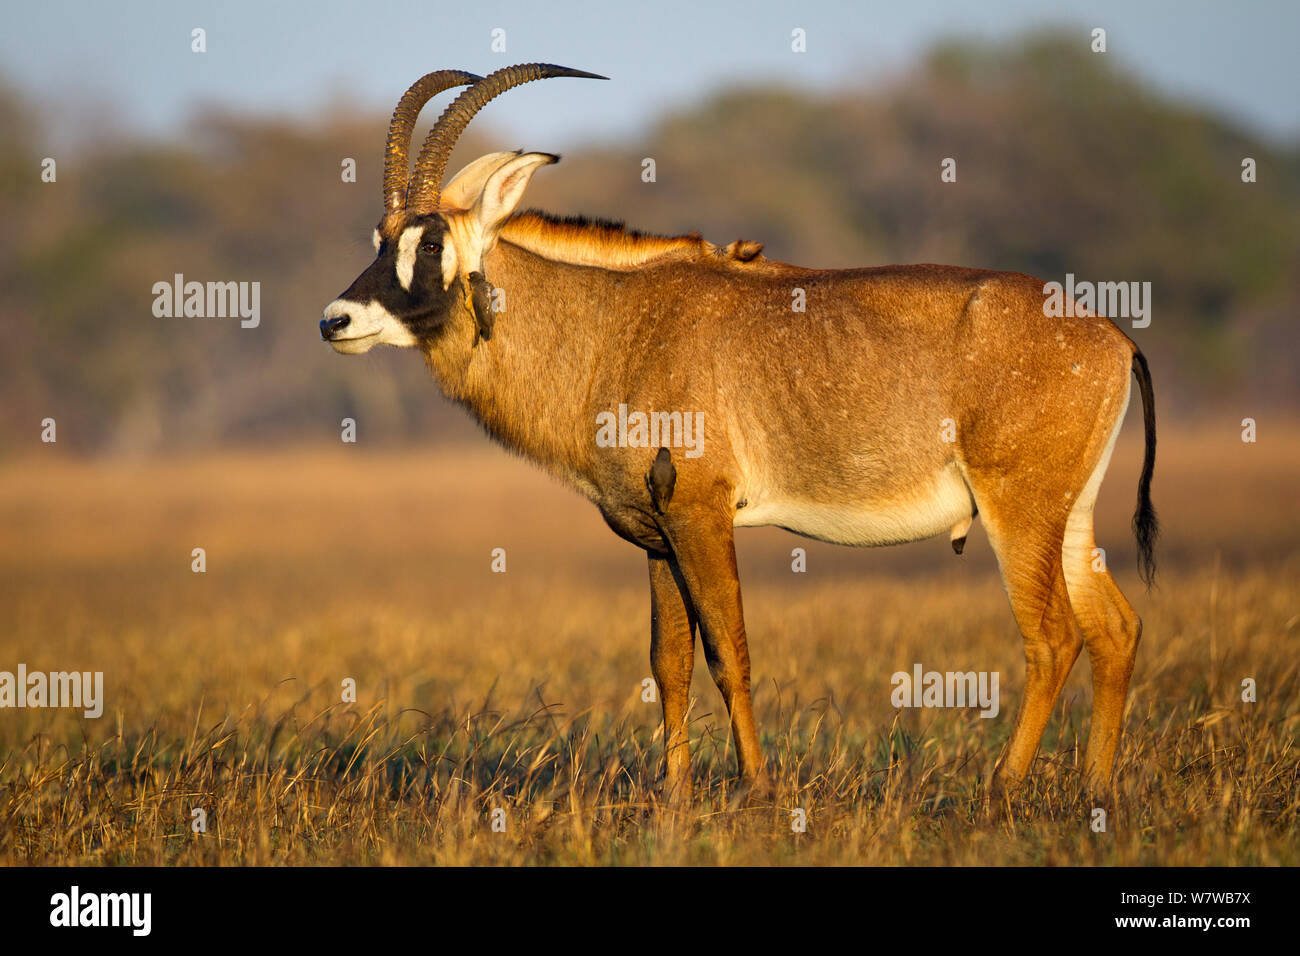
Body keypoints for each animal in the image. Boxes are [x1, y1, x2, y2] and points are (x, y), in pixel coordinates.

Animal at [322, 63, 1159, 806]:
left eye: (432, 244)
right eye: (379, 237)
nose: (337, 320)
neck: (614, 324)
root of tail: (1114, 336)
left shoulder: (702, 514)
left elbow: (731, 651)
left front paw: (755, 786)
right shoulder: (657, 534)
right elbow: (671, 662)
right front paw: (675, 792)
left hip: (1019, 510)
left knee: (1052, 636)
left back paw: (1004, 789)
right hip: (1071, 517)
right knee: (1114, 628)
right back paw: (1095, 788)